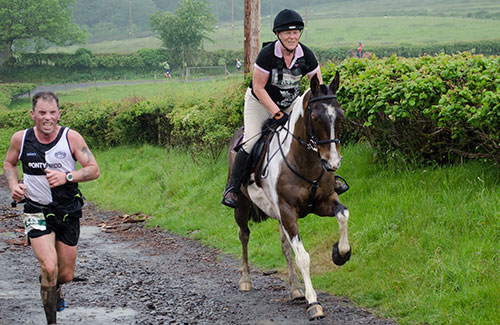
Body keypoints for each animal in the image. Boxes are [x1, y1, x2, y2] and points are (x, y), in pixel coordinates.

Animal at [227, 71, 352, 318]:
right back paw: (245, 279)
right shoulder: (287, 211)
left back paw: (295, 289)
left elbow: (343, 215)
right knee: (244, 235)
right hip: (242, 206)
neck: (305, 161)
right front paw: (314, 302)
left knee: (285, 246)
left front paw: (340, 254)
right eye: (315, 118)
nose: (332, 162)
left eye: (340, 115)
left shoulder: (324, 203)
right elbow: (303, 256)